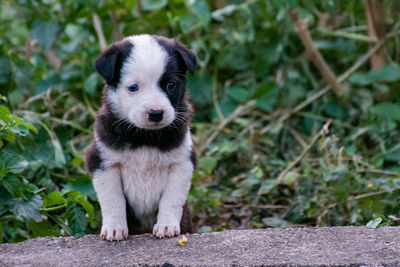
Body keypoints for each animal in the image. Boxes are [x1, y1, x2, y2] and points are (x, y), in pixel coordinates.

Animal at [85, 34, 197, 242]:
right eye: (133, 87)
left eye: (170, 85)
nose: (156, 113)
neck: (144, 136)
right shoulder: (102, 161)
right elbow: (113, 199)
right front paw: (114, 229)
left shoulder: (183, 161)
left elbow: (172, 197)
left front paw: (166, 225)